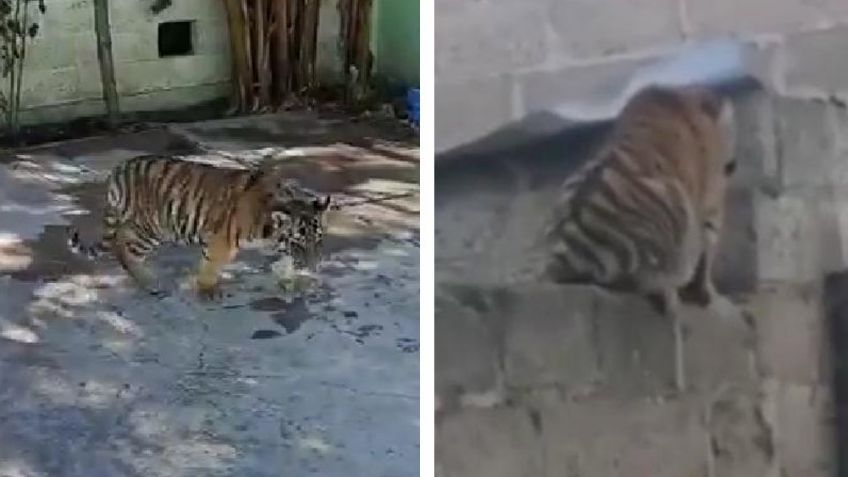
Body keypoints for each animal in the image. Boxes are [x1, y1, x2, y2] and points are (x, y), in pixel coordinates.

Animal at [67, 154, 332, 300]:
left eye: (318, 240)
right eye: (298, 243)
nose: (315, 266)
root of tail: (118, 170)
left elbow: (284, 262)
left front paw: (291, 282)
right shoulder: (222, 242)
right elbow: (210, 266)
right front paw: (207, 291)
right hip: (152, 228)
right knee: (123, 247)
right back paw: (151, 284)